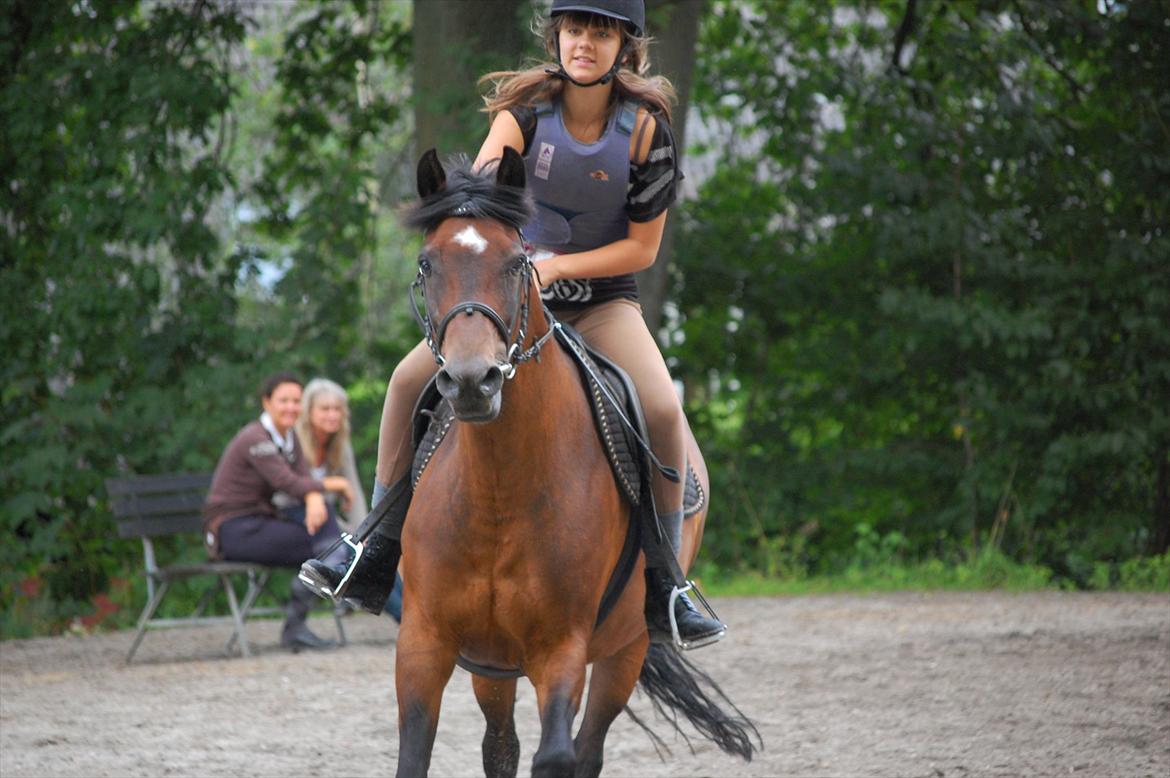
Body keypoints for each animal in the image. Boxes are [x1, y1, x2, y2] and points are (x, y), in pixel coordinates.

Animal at [394, 147, 756, 778]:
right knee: (501, 746)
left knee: (586, 749)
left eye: (517, 263)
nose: (472, 382)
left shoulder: (560, 646)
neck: (497, 488)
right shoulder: (424, 642)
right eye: (427, 263)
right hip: (494, 664)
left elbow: (559, 755)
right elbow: (418, 756)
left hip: (624, 650)